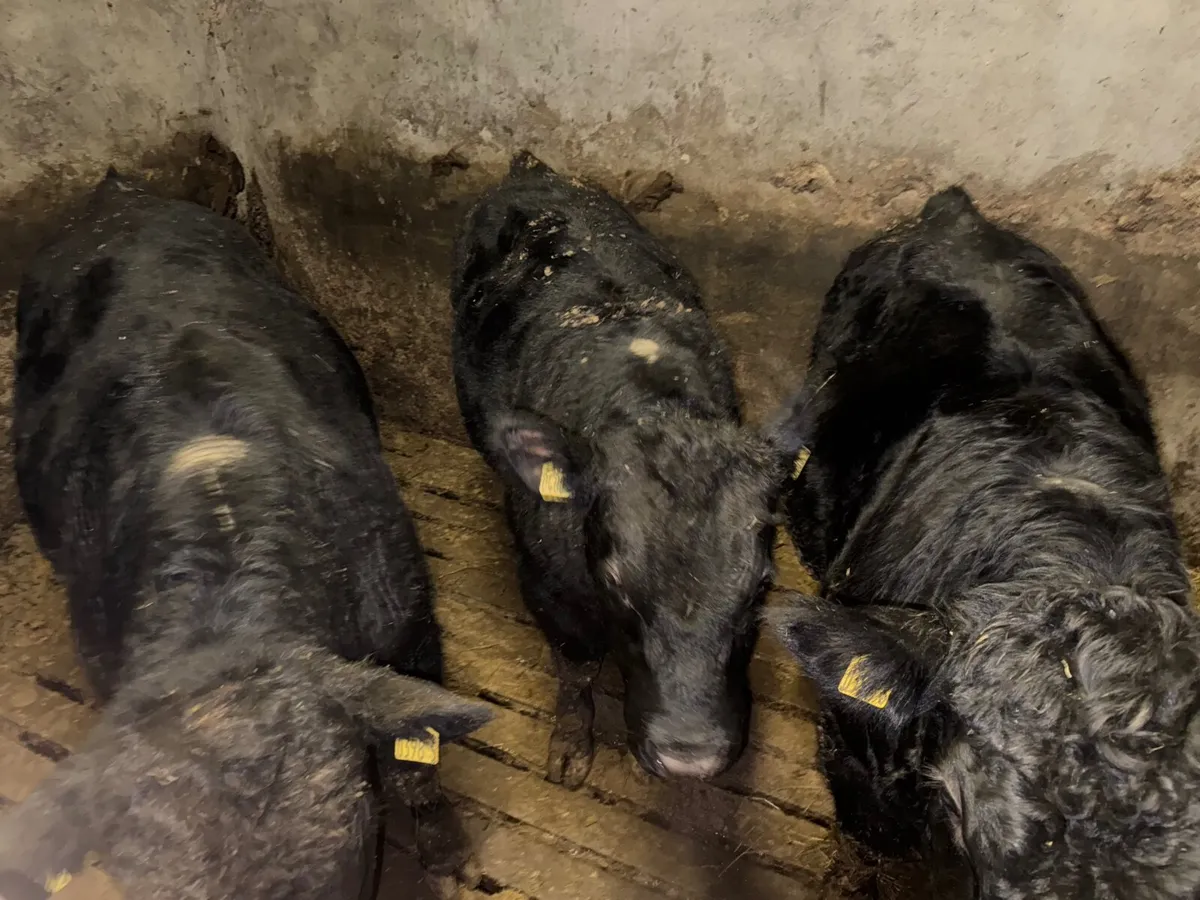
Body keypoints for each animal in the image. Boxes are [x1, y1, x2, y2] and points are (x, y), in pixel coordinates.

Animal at [450, 151, 808, 787]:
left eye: (761, 586)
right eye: (615, 581)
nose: (689, 756)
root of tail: (531, 170)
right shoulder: (546, 589)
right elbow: (575, 673)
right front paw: (571, 748)